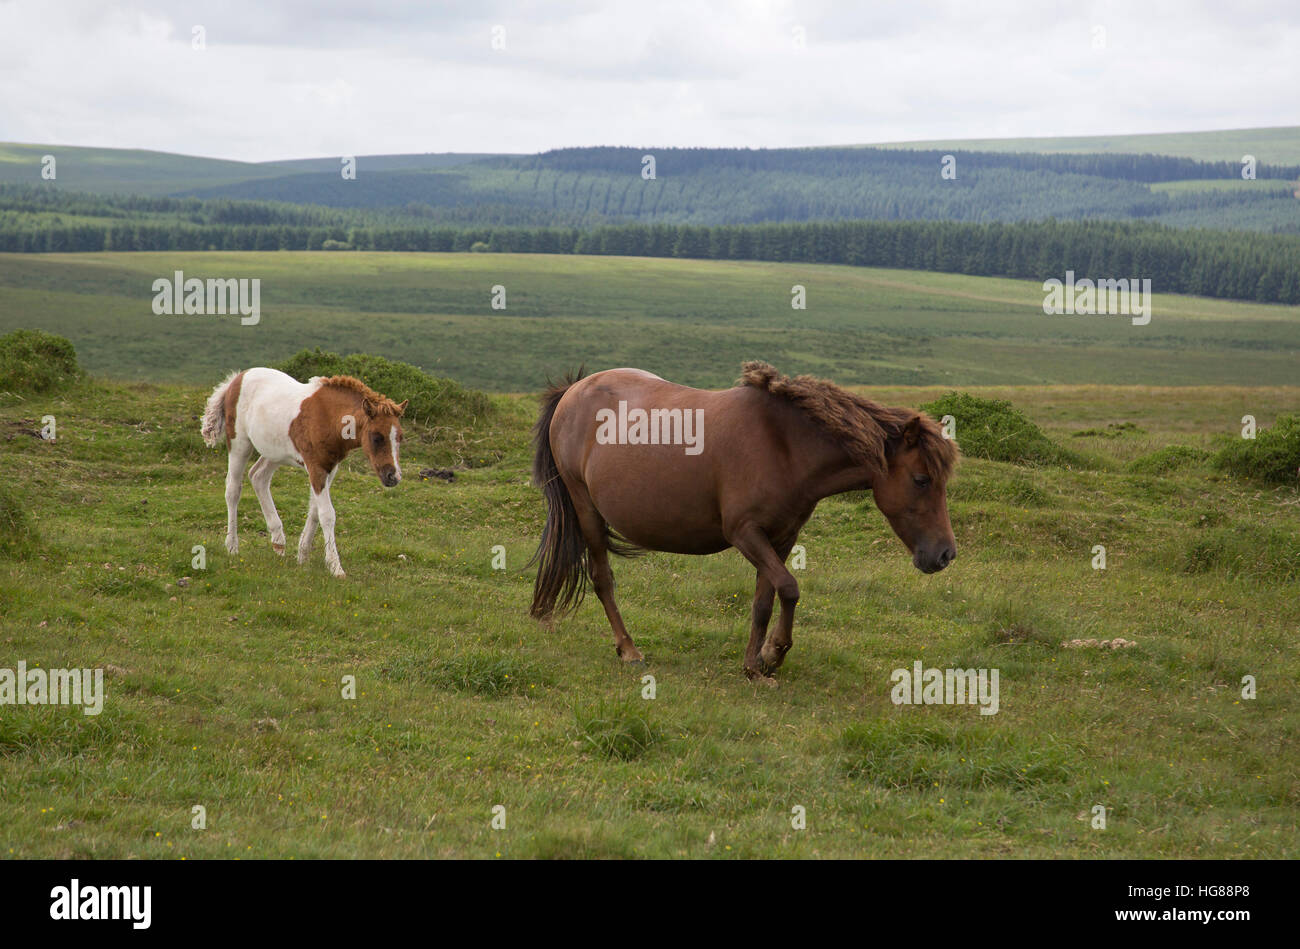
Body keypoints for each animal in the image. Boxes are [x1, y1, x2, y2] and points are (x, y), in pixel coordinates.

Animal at [200, 366, 405, 577]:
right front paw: (335, 566)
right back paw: (232, 546)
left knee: (258, 477)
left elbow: (314, 511)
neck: (329, 417)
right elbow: (327, 514)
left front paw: (302, 555)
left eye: (400, 437)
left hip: (274, 451)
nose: (393, 476)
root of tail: (237, 378)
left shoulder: (329, 469)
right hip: (239, 444)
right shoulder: (315, 467)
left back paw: (278, 541)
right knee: (233, 489)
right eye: (377, 437)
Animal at [525, 361, 956, 681]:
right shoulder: (745, 533)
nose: (945, 555)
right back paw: (628, 650)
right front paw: (774, 654)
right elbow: (789, 588)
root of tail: (574, 390)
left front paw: (754, 665)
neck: (783, 445)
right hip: (585, 509)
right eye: (921, 479)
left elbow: (764, 600)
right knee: (602, 578)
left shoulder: (780, 538)